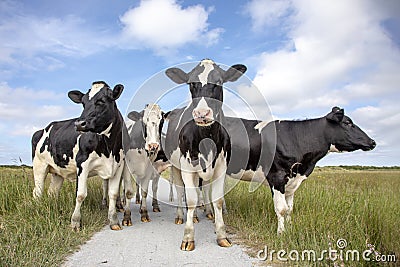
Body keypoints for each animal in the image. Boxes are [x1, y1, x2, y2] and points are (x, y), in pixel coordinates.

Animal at [32, 80, 133, 231]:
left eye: (101, 101)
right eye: (83, 103)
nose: (79, 123)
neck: (108, 147)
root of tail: (42, 129)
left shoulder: (118, 165)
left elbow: (113, 193)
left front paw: (114, 221)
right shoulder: (82, 164)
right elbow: (80, 194)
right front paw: (75, 222)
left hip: (57, 172)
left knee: (52, 192)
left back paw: (53, 210)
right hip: (39, 166)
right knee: (37, 192)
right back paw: (39, 210)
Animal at [163, 58, 247, 251]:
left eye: (219, 82)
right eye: (191, 83)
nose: (202, 113)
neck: (207, 138)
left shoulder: (221, 167)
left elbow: (217, 199)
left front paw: (221, 234)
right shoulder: (187, 166)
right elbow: (191, 199)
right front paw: (188, 237)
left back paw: (201, 214)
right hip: (176, 167)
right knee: (181, 191)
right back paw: (181, 216)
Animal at [209, 107, 376, 234]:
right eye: (347, 123)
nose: (372, 142)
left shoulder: (293, 181)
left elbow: (290, 209)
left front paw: (290, 228)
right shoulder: (277, 177)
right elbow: (281, 209)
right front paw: (281, 233)